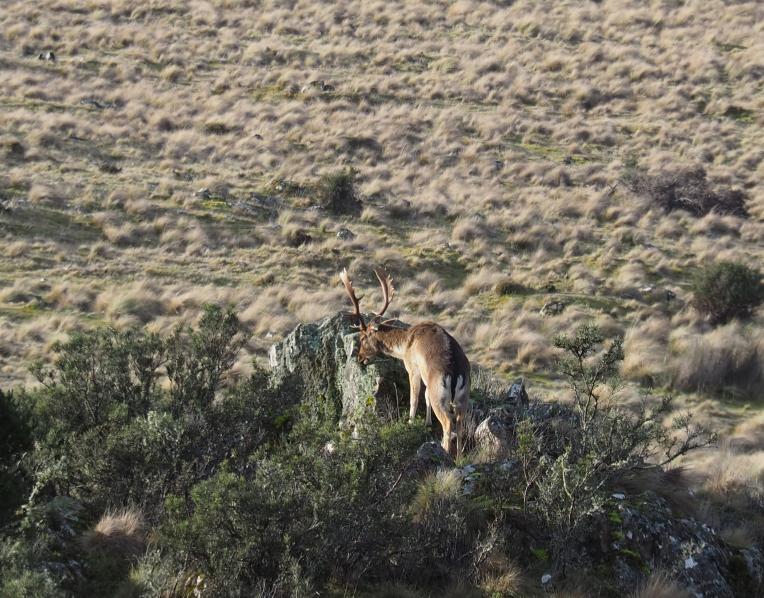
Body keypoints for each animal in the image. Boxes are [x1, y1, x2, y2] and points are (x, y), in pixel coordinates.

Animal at [339, 267, 470, 457]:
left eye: (363, 338)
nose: (360, 358)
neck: (405, 344)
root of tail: (455, 372)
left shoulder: (413, 368)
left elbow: (414, 398)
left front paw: (410, 423)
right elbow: (425, 396)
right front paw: (427, 423)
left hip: (439, 393)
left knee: (448, 423)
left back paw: (445, 453)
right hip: (463, 396)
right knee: (460, 423)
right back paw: (459, 457)